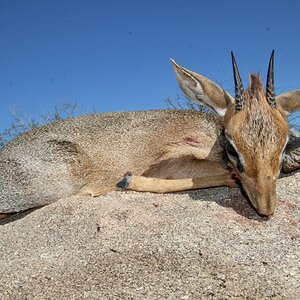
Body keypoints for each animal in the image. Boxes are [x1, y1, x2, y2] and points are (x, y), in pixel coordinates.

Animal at [0, 51, 298, 218]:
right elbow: (222, 173)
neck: (211, 132)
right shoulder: (167, 163)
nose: (266, 208)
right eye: (232, 147)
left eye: (283, 143)